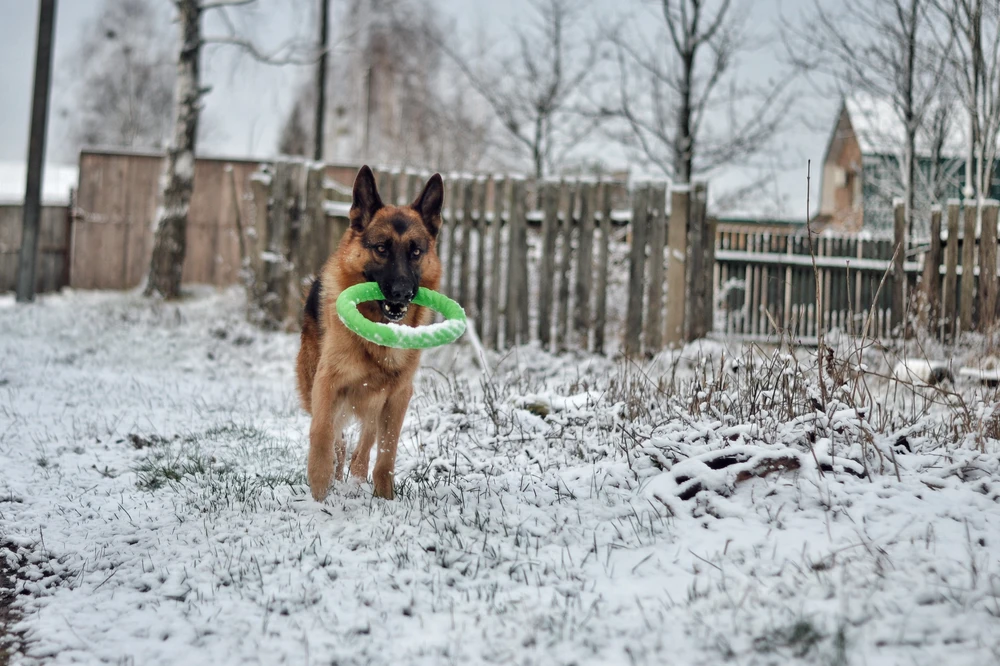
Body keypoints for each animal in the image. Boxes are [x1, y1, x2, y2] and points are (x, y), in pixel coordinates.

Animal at [292, 165, 442, 498]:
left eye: (415, 252)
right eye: (382, 248)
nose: (402, 293)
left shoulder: (398, 396)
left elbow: (386, 453)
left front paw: (385, 497)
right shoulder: (327, 383)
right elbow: (322, 434)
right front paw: (319, 491)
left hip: (378, 398)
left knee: (366, 441)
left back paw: (358, 476)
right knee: (337, 438)